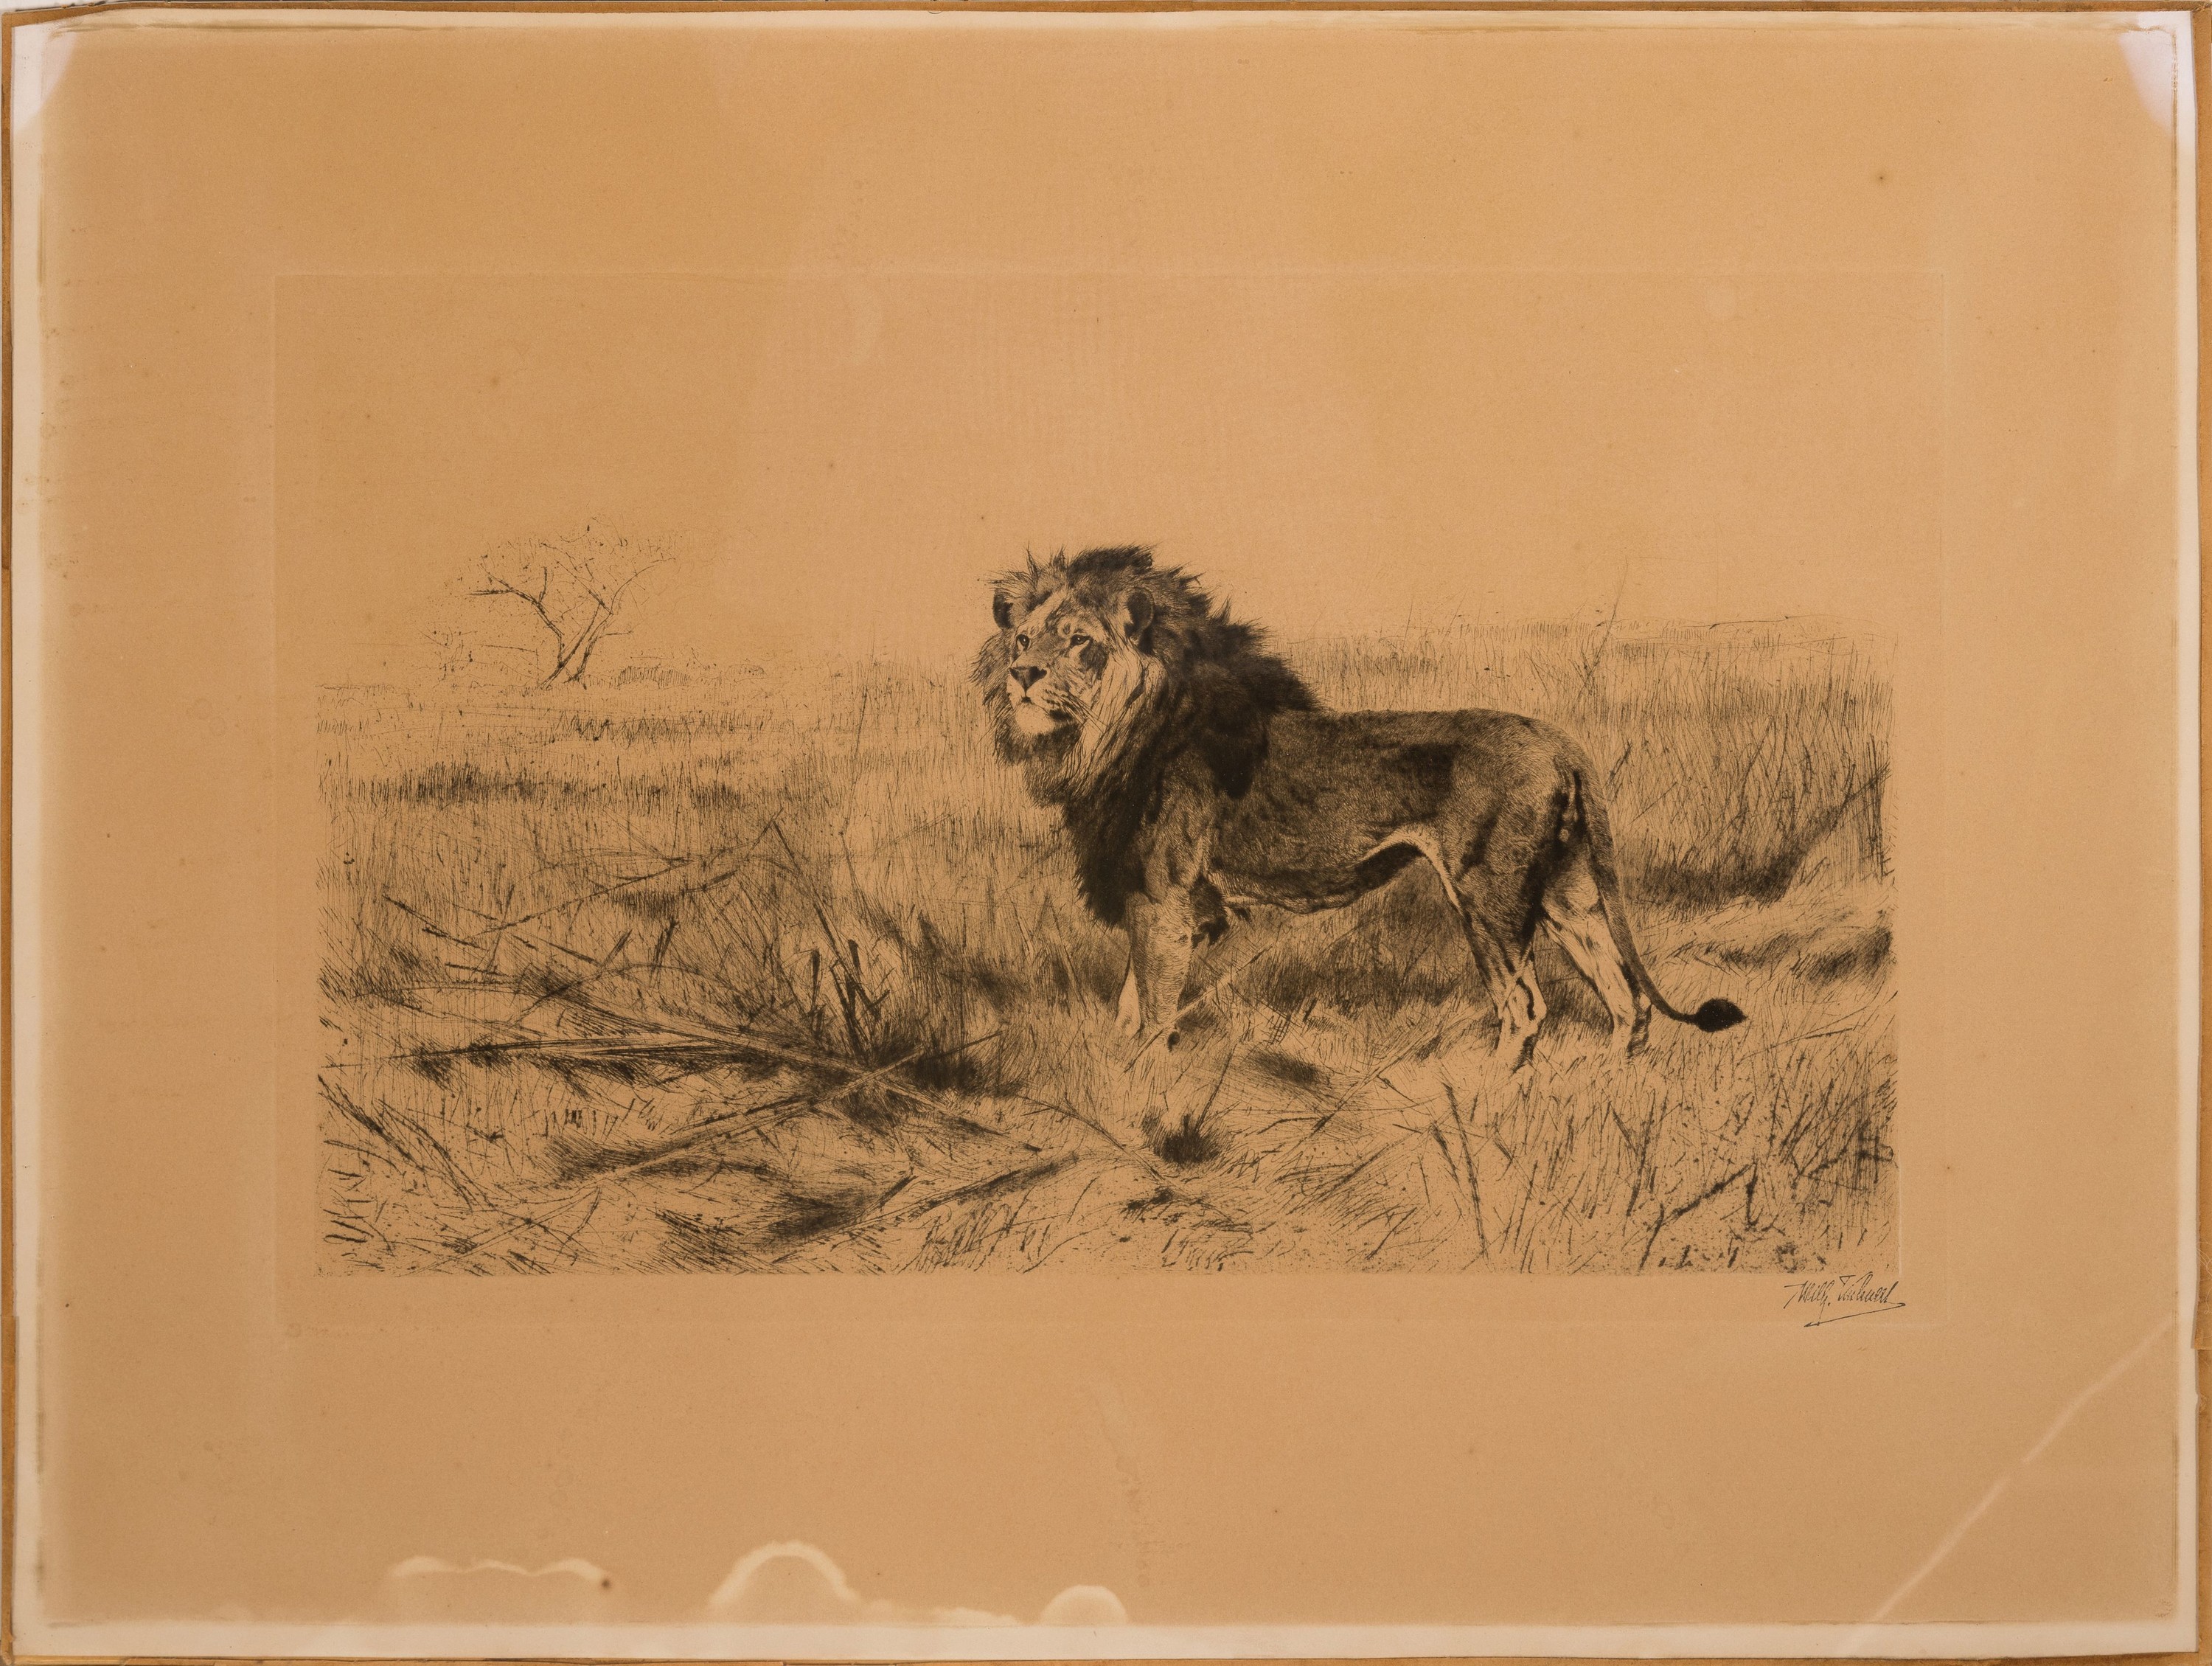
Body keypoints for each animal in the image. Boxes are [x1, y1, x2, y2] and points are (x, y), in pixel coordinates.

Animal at [973, 546, 1744, 1067]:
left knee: (1528, 1008)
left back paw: (1488, 1097)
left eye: (1080, 641)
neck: (1109, 732)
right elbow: (1130, 1002)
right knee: (1626, 1001)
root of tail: (1560, 740)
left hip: (1490, 896)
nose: (1022, 673)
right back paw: (1604, 1085)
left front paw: (1145, 1087)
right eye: (1024, 637)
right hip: (1566, 892)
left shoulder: (1165, 898)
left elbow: (1155, 1010)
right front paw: (1119, 1069)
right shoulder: (1155, 897)